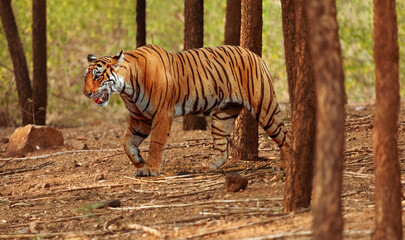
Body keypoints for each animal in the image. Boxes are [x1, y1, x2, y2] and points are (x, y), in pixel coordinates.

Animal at [83, 44, 288, 176]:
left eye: (98, 76)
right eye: (86, 77)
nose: (86, 93)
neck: (127, 88)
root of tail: (255, 54)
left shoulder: (161, 114)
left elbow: (156, 143)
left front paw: (150, 169)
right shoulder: (140, 118)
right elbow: (127, 142)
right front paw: (139, 161)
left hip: (264, 107)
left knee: (284, 135)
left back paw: (284, 165)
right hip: (223, 114)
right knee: (223, 149)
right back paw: (206, 168)